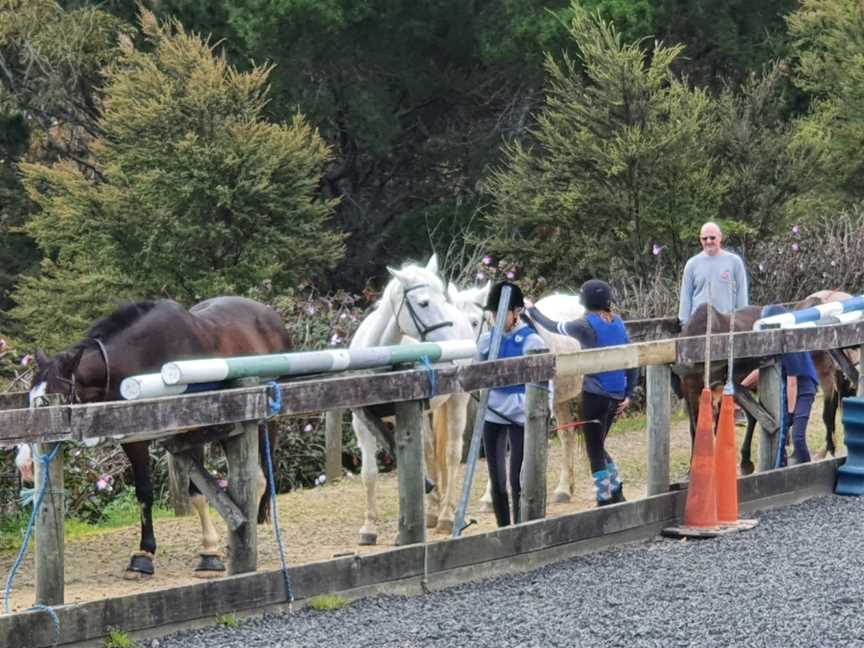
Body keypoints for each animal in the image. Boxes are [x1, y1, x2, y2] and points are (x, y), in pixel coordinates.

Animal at [16, 298, 290, 576]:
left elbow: (197, 493)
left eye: (48, 402)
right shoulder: (135, 440)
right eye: (30, 399)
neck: (145, 356)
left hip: (263, 421)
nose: (26, 464)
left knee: (260, 477)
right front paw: (144, 554)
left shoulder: (195, 430)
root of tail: (269, 315)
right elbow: (144, 493)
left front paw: (209, 553)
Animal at [352, 256, 472, 544]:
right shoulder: (362, 423)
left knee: (452, 454)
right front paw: (369, 528)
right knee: (429, 452)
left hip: (457, 401)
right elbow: (370, 473)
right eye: (424, 303)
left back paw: (446, 516)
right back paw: (433, 511)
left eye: (441, 297)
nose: (452, 346)